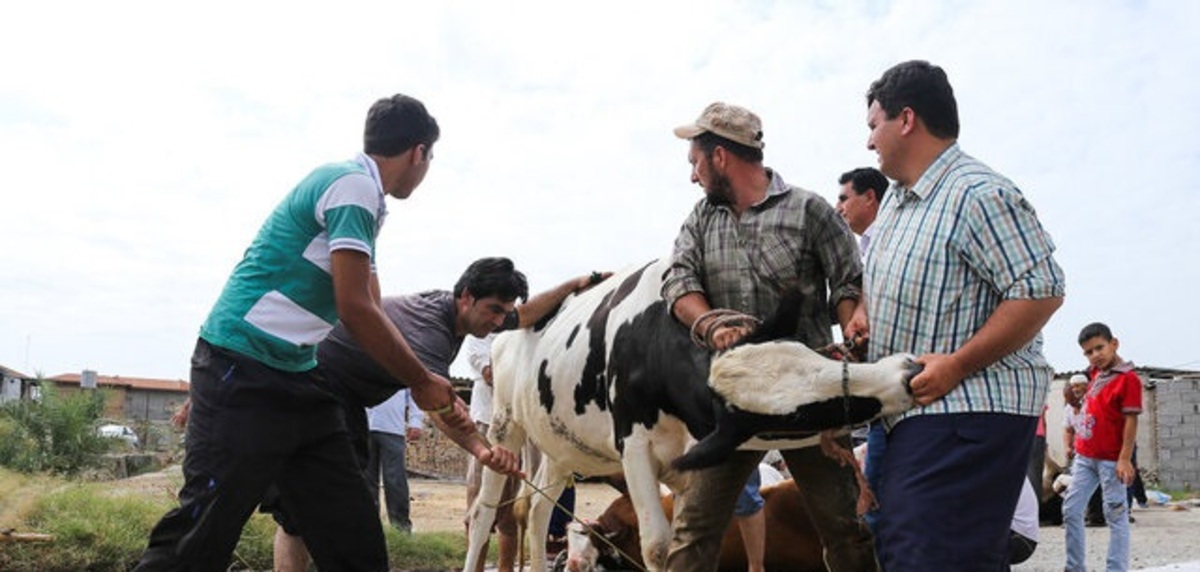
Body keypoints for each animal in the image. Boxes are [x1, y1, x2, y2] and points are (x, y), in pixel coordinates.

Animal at [463, 259, 912, 570]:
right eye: (793, 419)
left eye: (805, 352)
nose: (906, 372)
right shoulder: (634, 448)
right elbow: (660, 547)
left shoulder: (688, 464)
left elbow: (686, 542)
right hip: (505, 427)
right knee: (485, 512)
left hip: (562, 450)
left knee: (537, 510)